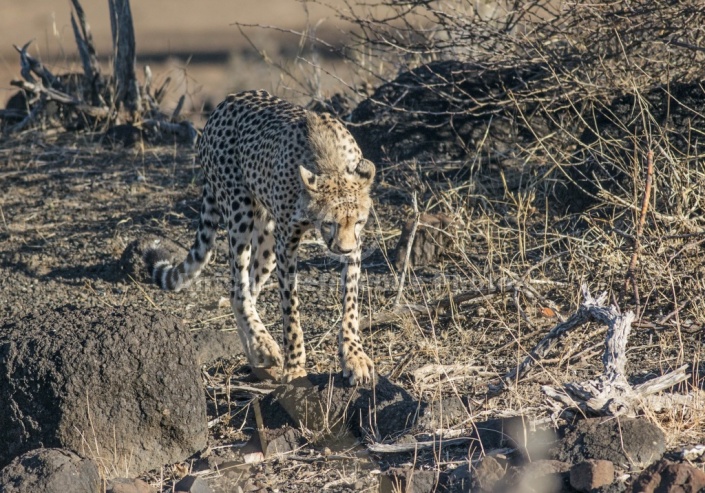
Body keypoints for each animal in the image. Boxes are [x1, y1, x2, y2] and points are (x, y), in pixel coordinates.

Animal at [146, 91, 376, 384]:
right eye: (329, 223)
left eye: (358, 222)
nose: (343, 250)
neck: (330, 164)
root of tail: (228, 101)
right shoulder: (286, 241)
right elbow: (291, 309)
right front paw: (295, 366)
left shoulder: (353, 245)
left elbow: (351, 301)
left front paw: (353, 356)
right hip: (239, 210)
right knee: (238, 288)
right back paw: (264, 346)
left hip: (266, 237)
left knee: (246, 292)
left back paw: (257, 353)